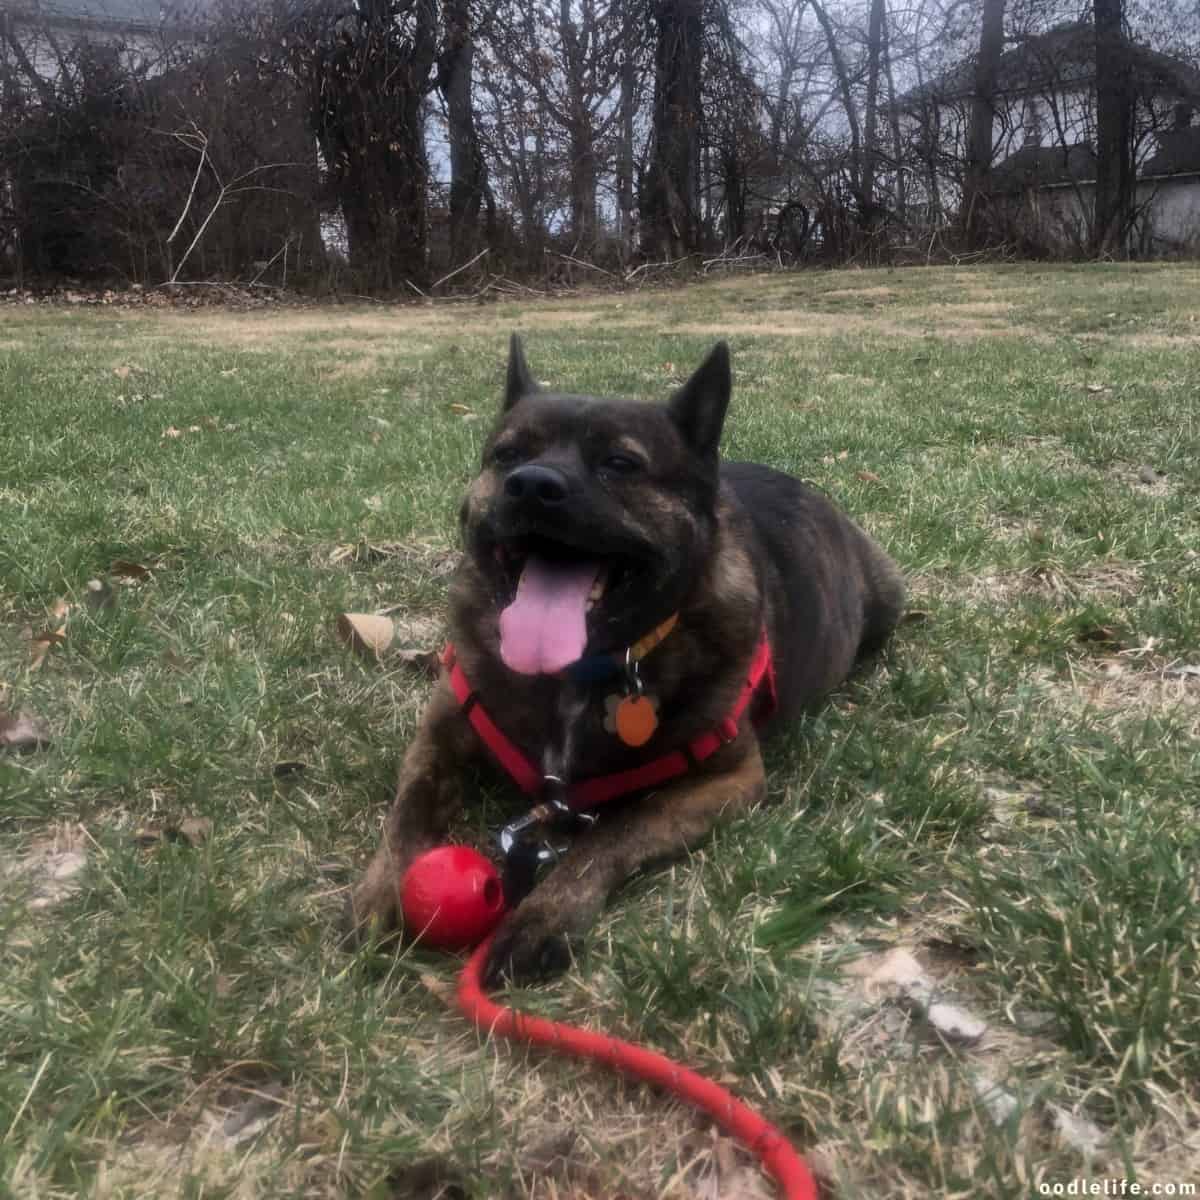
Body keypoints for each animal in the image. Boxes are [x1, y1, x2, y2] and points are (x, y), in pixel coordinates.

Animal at [343, 338, 902, 984]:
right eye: (507, 455)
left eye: (620, 463)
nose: (531, 485)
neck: (576, 672)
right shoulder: (435, 740)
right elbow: (406, 814)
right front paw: (380, 894)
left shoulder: (726, 780)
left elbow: (610, 834)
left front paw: (543, 918)